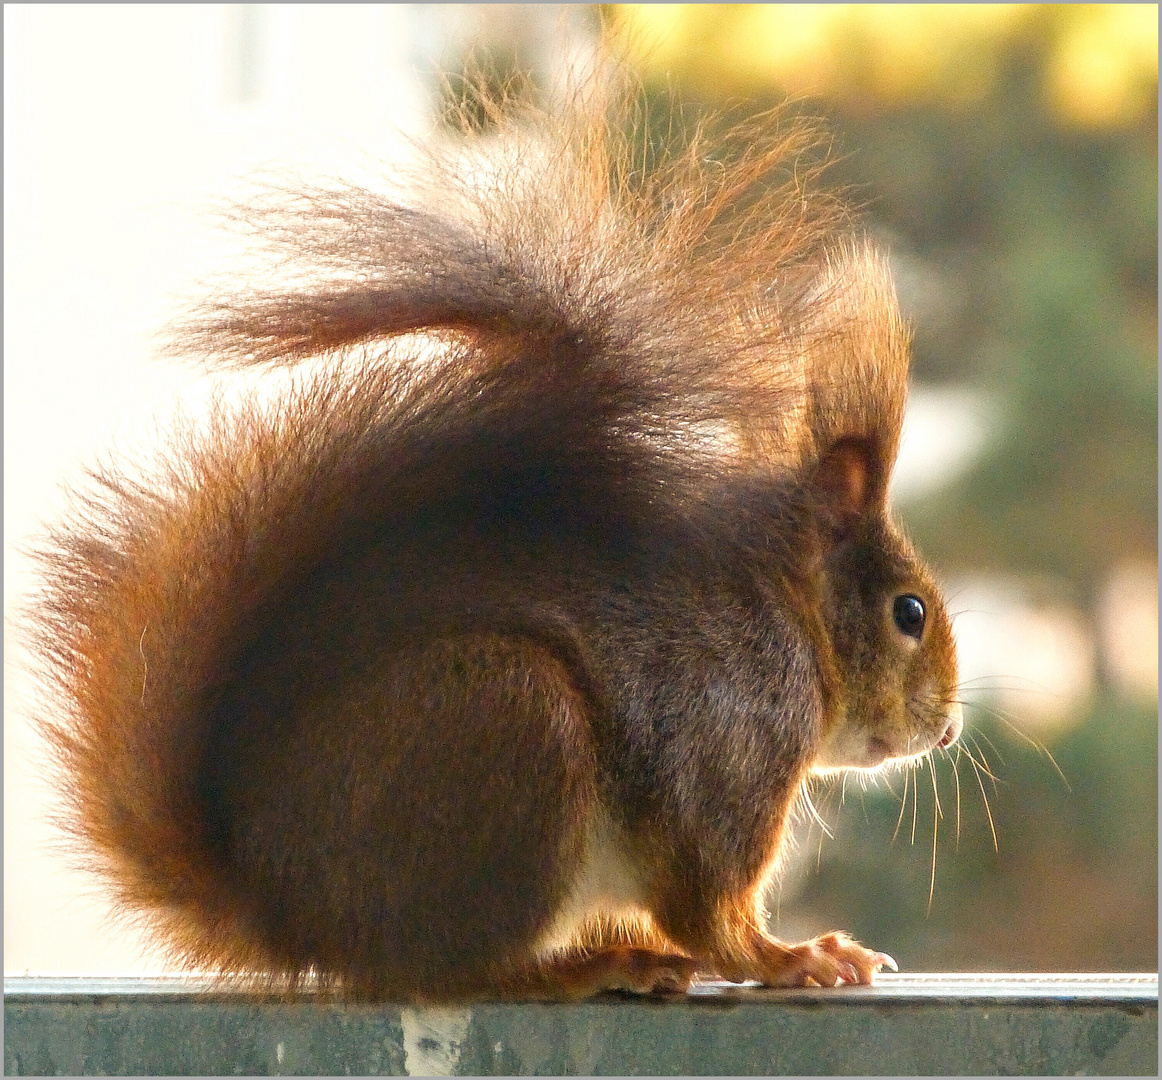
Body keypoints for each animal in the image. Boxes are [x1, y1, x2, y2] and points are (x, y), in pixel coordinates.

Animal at [29, 86, 962, 1004]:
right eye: (909, 612)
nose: (948, 731)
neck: (790, 618)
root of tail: (293, 918)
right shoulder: (732, 735)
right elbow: (711, 908)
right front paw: (799, 956)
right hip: (515, 736)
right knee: (464, 967)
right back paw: (595, 966)